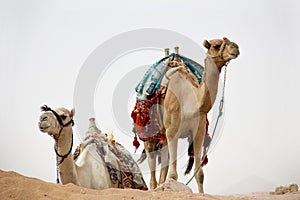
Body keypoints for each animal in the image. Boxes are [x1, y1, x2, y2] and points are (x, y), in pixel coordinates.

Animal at [142, 37, 240, 192]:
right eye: (216, 45)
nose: (235, 48)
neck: (189, 102)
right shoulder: (172, 130)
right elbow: (173, 175)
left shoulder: (199, 131)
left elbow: (199, 174)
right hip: (150, 133)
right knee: (152, 166)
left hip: (163, 136)